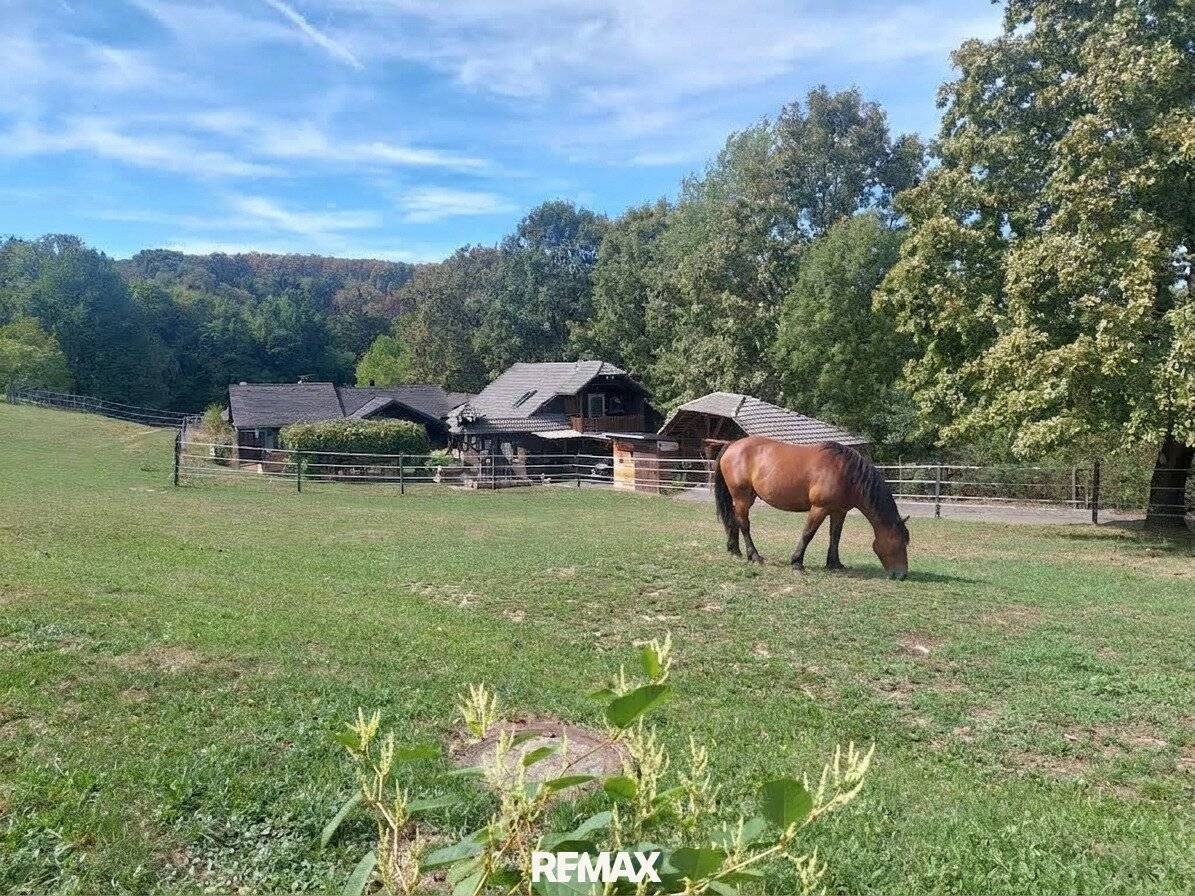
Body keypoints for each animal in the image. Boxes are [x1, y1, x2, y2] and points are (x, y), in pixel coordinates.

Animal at [713, 437, 910, 579]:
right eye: (899, 542)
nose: (902, 575)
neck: (846, 473)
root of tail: (732, 445)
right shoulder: (819, 509)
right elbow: (808, 534)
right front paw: (797, 563)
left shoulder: (839, 511)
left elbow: (835, 536)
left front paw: (834, 563)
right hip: (742, 498)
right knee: (744, 525)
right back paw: (754, 556)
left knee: (734, 519)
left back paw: (735, 551)